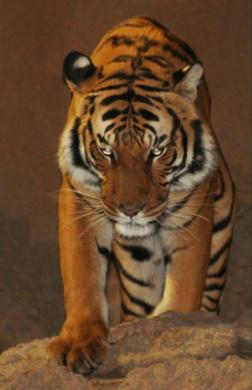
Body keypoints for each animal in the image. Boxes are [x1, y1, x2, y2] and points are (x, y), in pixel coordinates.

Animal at [48, 16, 235, 374]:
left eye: (157, 151)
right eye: (106, 150)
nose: (130, 209)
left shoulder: (192, 211)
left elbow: (184, 287)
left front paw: (176, 331)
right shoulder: (79, 197)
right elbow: (81, 273)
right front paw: (79, 341)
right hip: (138, 262)